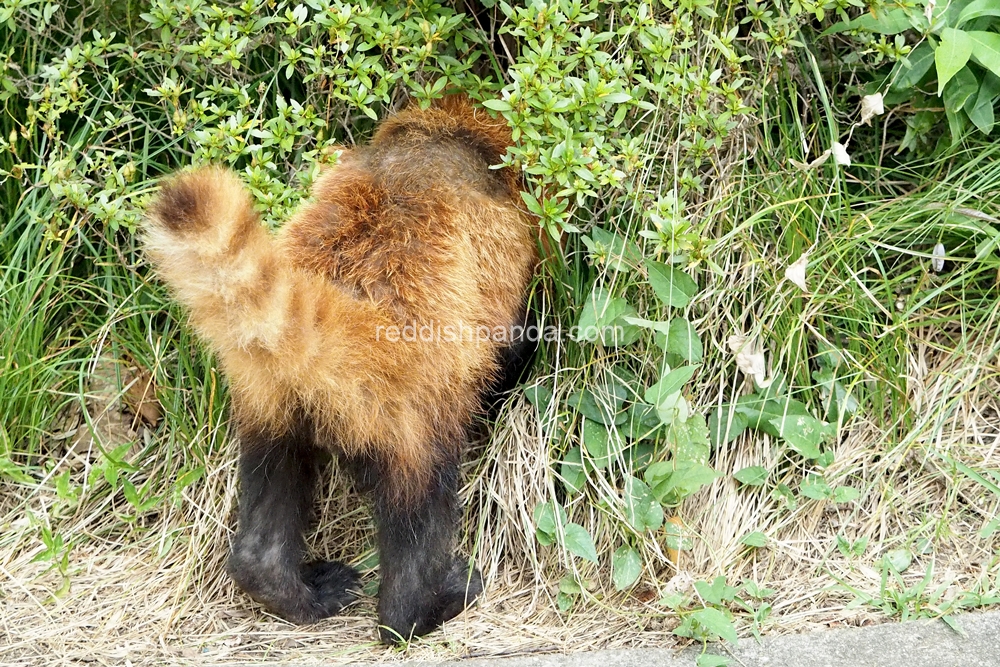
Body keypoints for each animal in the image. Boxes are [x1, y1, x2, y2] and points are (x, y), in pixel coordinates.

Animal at [141, 96, 540, 644]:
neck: (437, 138)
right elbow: (511, 345)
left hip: (270, 400)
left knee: (274, 482)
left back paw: (284, 586)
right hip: (415, 410)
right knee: (421, 506)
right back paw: (426, 607)